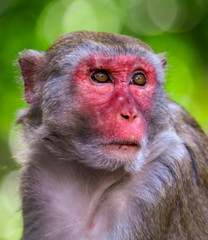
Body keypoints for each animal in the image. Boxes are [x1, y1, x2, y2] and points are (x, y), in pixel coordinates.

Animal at [17, 31, 208, 239]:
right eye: (100, 76)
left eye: (139, 79)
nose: (130, 114)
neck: (93, 177)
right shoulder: (39, 176)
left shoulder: (164, 175)